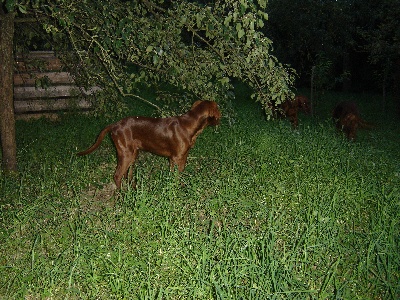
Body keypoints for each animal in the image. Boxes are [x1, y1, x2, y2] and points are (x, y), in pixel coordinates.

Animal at [78, 101, 222, 190]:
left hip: (133, 153)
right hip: (126, 153)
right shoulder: (177, 157)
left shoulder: (179, 157)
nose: (220, 120)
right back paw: (122, 196)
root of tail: (114, 125)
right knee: (117, 175)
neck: (190, 124)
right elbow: (176, 175)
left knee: (127, 174)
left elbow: (176, 174)